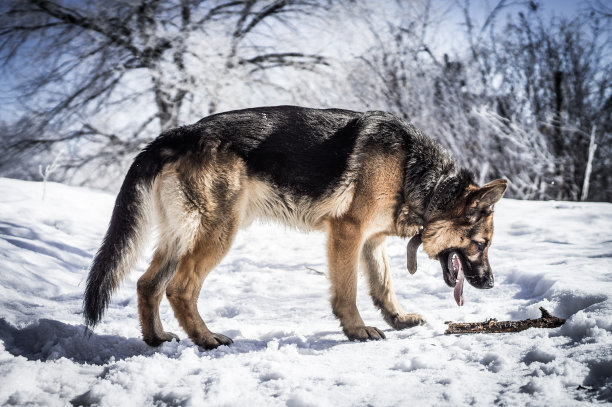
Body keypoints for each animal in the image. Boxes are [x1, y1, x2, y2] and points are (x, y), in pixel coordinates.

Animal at [85, 106, 506, 350]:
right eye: (481, 244)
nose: (490, 284)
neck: (420, 176)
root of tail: (179, 133)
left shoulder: (371, 241)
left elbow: (383, 284)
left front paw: (397, 318)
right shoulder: (347, 232)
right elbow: (348, 291)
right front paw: (356, 330)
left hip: (183, 235)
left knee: (148, 284)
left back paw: (156, 338)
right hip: (219, 232)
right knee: (179, 288)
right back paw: (206, 339)